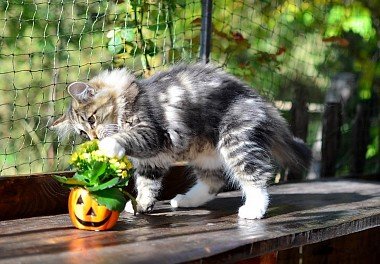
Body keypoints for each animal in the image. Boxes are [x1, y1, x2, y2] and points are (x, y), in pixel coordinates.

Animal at [51, 63, 312, 220]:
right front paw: (141, 206)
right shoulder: (152, 161)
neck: (128, 98)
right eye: (83, 133)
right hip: (205, 154)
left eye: (92, 119)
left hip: (234, 141)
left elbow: (127, 137)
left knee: (256, 177)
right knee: (214, 182)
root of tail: (261, 104)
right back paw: (185, 200)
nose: (94, 138)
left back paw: (255, 208)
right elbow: (147, 185)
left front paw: (109, 146)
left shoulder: (151, 132)